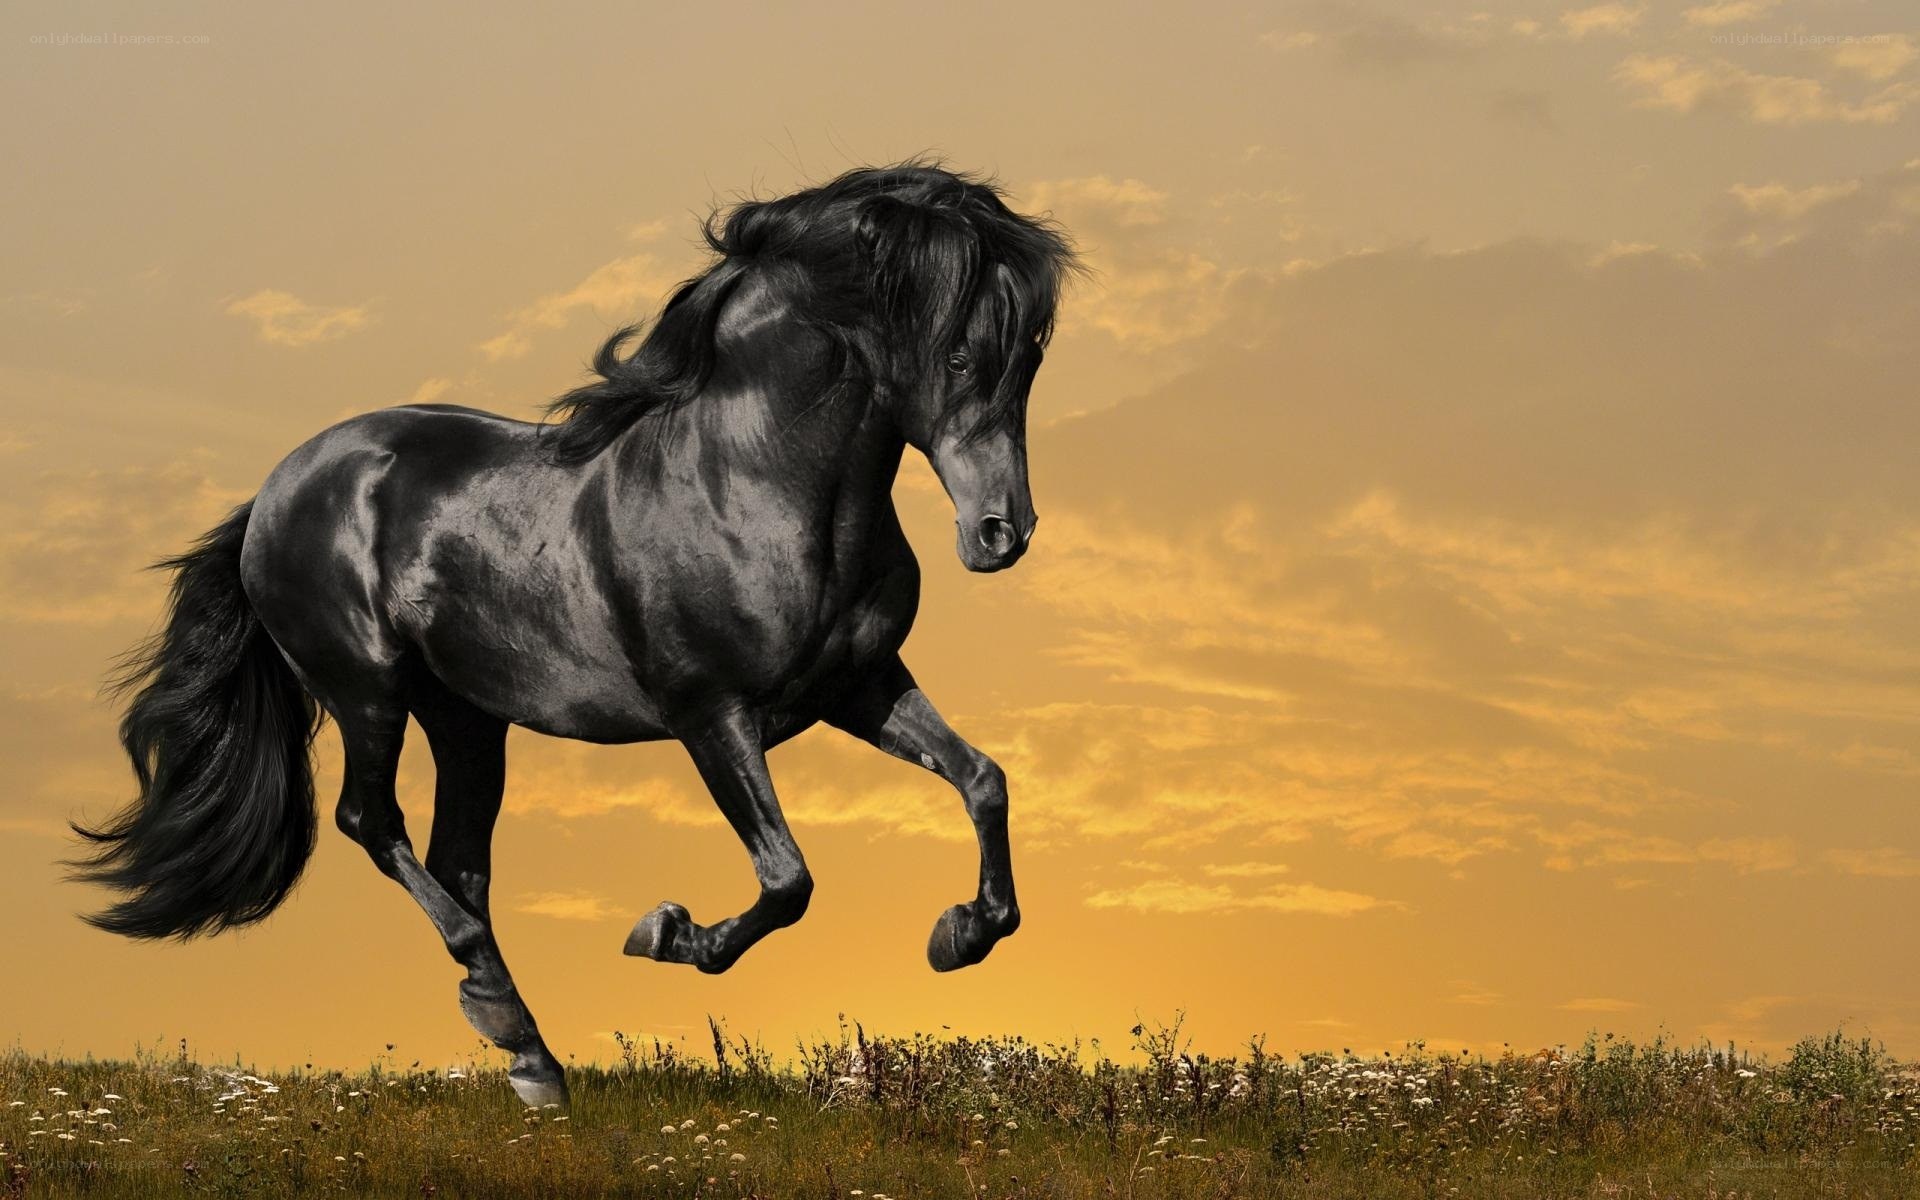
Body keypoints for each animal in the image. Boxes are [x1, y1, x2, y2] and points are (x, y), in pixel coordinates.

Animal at [67, 160, 1083, 1107]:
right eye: (959, 357)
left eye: (1031, 357)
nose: (1002, 534)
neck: (753, 486)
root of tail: (277, 492)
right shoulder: (711, 715)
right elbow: (787, 880)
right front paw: (666, 932)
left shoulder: (859, 686)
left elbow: (983, 781)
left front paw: (959, 935)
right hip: (368, 693)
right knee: (373, 823)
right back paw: (504, 1015)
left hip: (467, 719)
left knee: (458, 862)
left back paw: (532, 1060)